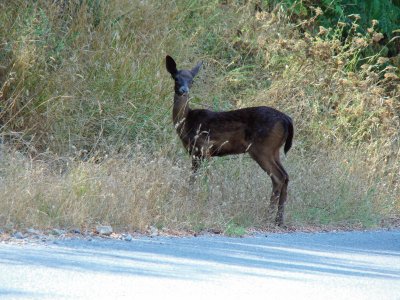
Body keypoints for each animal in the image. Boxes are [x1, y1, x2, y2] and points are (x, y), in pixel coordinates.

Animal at [166, 55, 294, 226]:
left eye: (192, 80)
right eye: (176, 78)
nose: (183, 91)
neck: (187, 122)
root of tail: (287, 120)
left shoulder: (203, 148)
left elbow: (200, 177)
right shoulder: (198, 153)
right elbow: (195, 177)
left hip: (262, 148)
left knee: (278, 177)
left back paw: (268, 217)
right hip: (275, 150)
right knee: (285, 176)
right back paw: (279, 220)